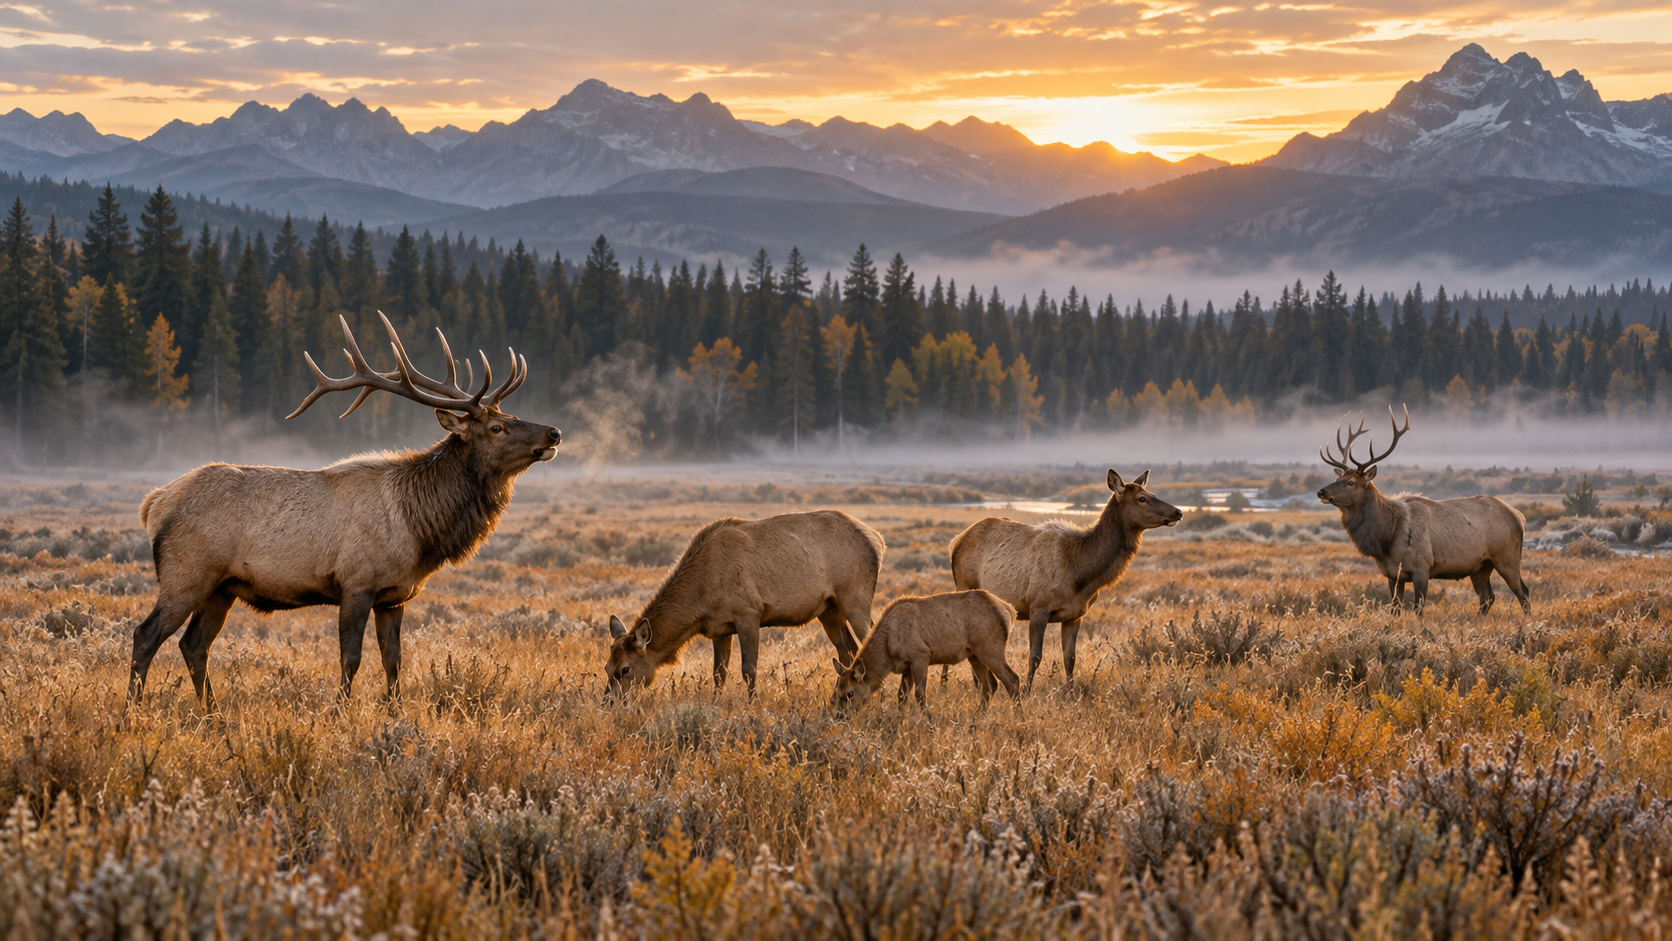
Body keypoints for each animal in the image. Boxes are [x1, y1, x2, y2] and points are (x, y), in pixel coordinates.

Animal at [129, 312, 560, 708]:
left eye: (510, 416)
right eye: (496, 428)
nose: (553, 433)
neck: (419, 530)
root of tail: (154, 503)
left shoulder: (395, 595)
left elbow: (393, 660)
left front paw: (394, 712)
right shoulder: (356, 582)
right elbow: (349, 658)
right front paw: (341, 711)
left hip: (222, 587)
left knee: (193, 645)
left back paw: (214, 714)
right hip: (187, 573)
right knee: (146, 635)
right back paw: (133, 710)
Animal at [605, 510, 885, 697]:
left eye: (625, 669)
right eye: (607, 667)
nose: (609, 702)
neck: (699, 602)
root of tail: (878, 540)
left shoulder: (749, 613)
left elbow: (749, 669)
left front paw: (753, 703)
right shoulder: (719, 628)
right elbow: (719, 673)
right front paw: (715, 705)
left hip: (855, 598)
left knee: (869, 640)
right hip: (828, 609)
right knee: (848, 651)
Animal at [829, 590, 1021, 711]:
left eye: (850, 693)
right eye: (837, 692)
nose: (840, 716)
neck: (888, 651)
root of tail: (1010, 611)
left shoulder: (920, 657)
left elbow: (920, 695)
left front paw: (930, 724)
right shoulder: (906, 667)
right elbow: (901, 696)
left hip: (990, 649)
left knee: (1012, 679)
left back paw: (1019, 719)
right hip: (974, 654)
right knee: (989, 686)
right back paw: (974, 722)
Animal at [949, 469, 1183, 690]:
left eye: (1153, 494)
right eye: (1142, 498)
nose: (1178, 511)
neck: (1082, 577)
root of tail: (954, 543)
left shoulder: (1075, 615)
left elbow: (1070, 659)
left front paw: (1070, 693)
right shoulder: (1038, 607)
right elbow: (1035, 657)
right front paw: (1027, 691)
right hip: (964, 585)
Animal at [1317, 406, 1530, 614]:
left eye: (1351, 482)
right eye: (1337, 478)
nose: (1321, 491)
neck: (1387, 539)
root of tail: (1519, 516)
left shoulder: (1422, 567)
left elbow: (1418, 607)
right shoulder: (1392, 574)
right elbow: (1395, 607)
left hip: (1507, 558)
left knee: (1523, 592)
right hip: (1480, 566)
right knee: (1487, 597)